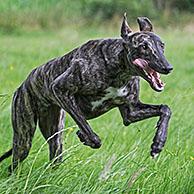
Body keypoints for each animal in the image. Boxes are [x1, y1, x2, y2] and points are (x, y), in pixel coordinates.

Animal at [0, 14, 173, 171]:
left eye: (162, 45)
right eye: (143, 46)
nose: (168, 68)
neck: (119, 69)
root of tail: (22, 86)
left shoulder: (131, 112)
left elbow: (165, 109)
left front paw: (158, 143)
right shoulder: (60, 89)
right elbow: (87, 128)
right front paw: (86, 137)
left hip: (55, 137)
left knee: (54, 157)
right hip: (24, 138)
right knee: (14, 163)